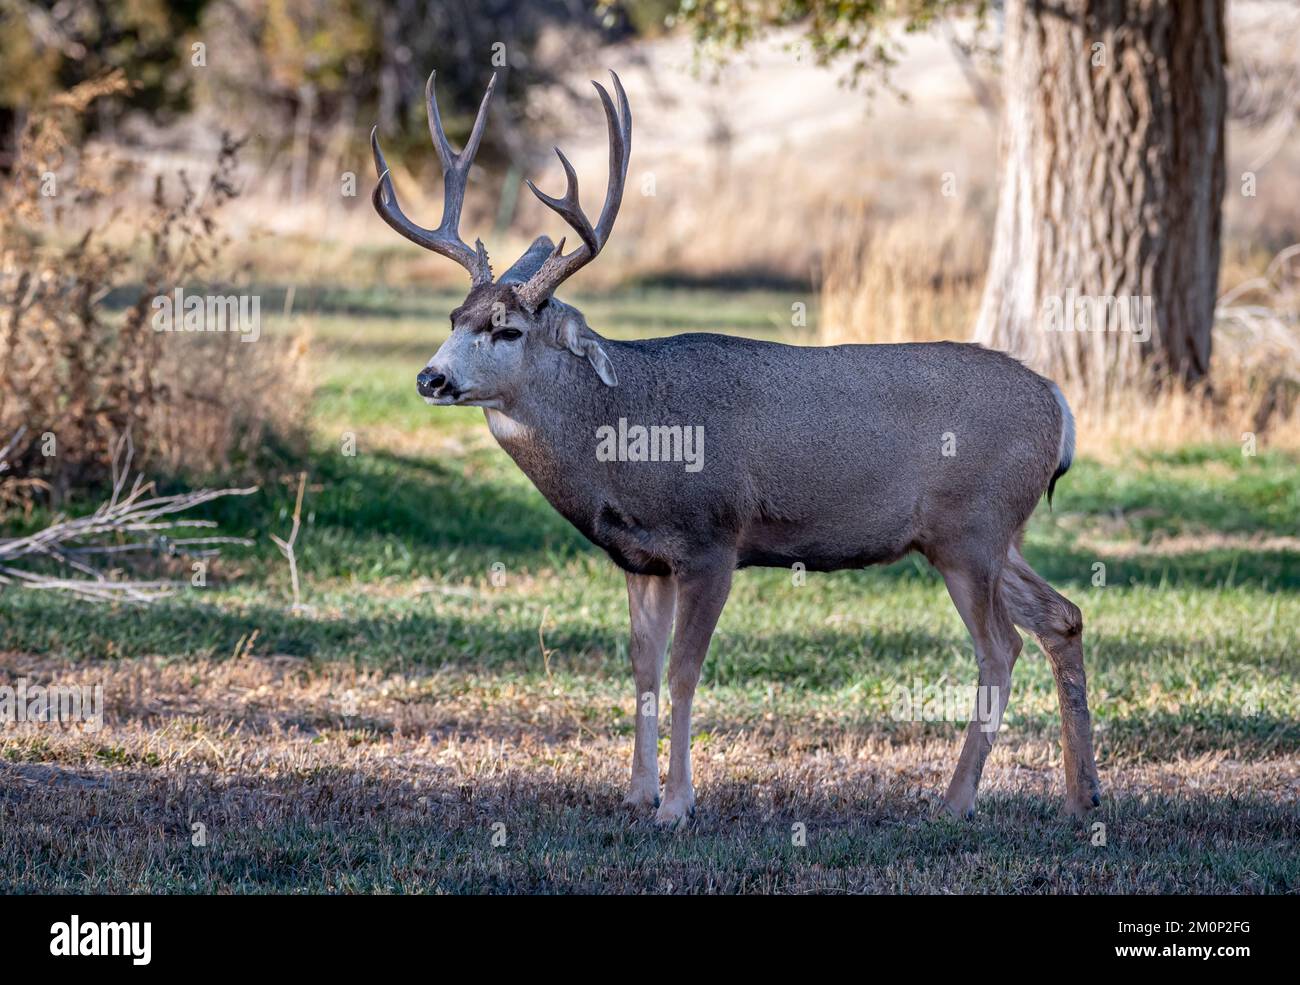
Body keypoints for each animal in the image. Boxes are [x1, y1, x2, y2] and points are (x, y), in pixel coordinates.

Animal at [370, 70, 1102, 828]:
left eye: (507, 328)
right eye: (454, 317)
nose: (432, 377)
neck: (625, 432)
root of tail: (1058, 403)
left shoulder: (712, 541)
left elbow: (684, 672)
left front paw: (677, 805)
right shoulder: (641, 560)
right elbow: (642, 668)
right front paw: (635, 793)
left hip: (971, 530)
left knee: (1000, 647)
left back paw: (955, 801)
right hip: (986, 534)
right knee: (1063, 617)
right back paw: (1082, 795)